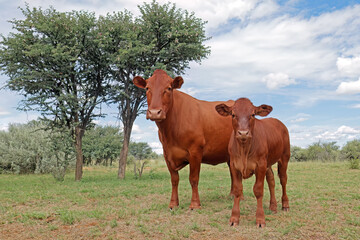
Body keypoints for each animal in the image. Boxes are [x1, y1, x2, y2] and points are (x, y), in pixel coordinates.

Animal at [132, 70, 236, 210]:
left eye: (169, 88)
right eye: (147, 88)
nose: (154, 112)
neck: (170, 133)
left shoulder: (195, 151)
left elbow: (193, 178)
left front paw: (195, 204)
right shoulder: (167, 154)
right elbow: (174, 179)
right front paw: (173, 203)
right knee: (233, 171)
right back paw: (232, 194)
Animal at [215, 97, 292, 227]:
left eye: (252, 114)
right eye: (233, 114)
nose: (243, 133)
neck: (244, 150)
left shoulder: (260, 165)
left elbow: (258, 190)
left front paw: (260, 219)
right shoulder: (234, 165)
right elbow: (237, 190)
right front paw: (234, 218)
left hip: (284, 158)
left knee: (283, 179)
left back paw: (285, 204)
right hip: (268, 163)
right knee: (271, 181)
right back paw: (273, 206)